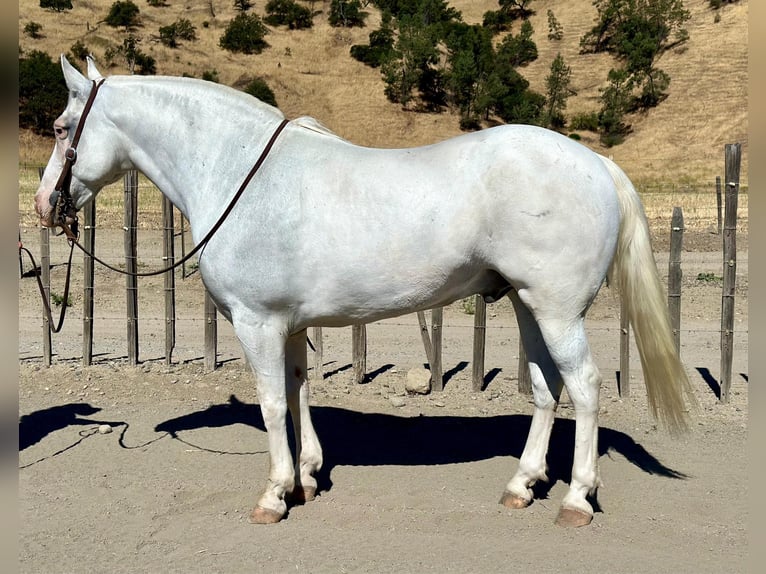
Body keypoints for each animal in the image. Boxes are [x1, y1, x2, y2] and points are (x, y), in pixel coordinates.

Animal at [34, 56, 696, 528]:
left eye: (62, 127)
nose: (44, 205)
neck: (240, 173)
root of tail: (596, 163)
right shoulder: (290, 325)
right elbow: (299, 392)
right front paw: (306, 477)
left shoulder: (257, 322)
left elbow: (272, 403)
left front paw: (274, 495)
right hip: (528, 305)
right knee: (544, 388)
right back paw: (522, 485)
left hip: (559, 311)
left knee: (583, 388)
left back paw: (577, 499)